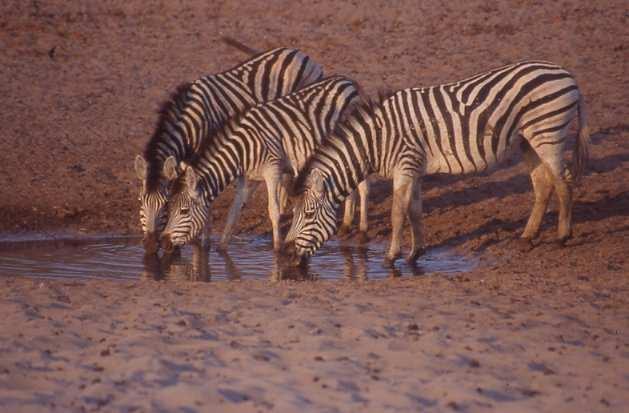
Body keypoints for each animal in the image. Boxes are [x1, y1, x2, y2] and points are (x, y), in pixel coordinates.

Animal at [136, 45, 326, 253]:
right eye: (140, 202)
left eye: (164, 205)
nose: (150, 245)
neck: (190, 119)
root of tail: (298, 52)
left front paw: (203, 240)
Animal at [159, 75, 370, 253]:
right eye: (168, 208)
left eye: (184, 211)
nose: (165, 243)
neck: (242, 150)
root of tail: (348, 82)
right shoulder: (247, 178)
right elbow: (234, 211)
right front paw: (222, 248)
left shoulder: (272, 171)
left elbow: (273, 211)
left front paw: (277, 249)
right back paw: (346, 225)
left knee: (362, 187)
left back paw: (362, 230)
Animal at [284, 59, 588, 266]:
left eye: (307, 215)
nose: (288, 255)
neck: (377, 140)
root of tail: (567, 73)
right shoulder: (415, 168)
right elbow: (415, 211)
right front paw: (415, 253)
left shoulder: (405, 165)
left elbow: (397, 213)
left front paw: (391, 257)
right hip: (528, 139)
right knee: (543, 184)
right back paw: (528, 236)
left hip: (548, 133)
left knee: (563, 181)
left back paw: (563, 236)